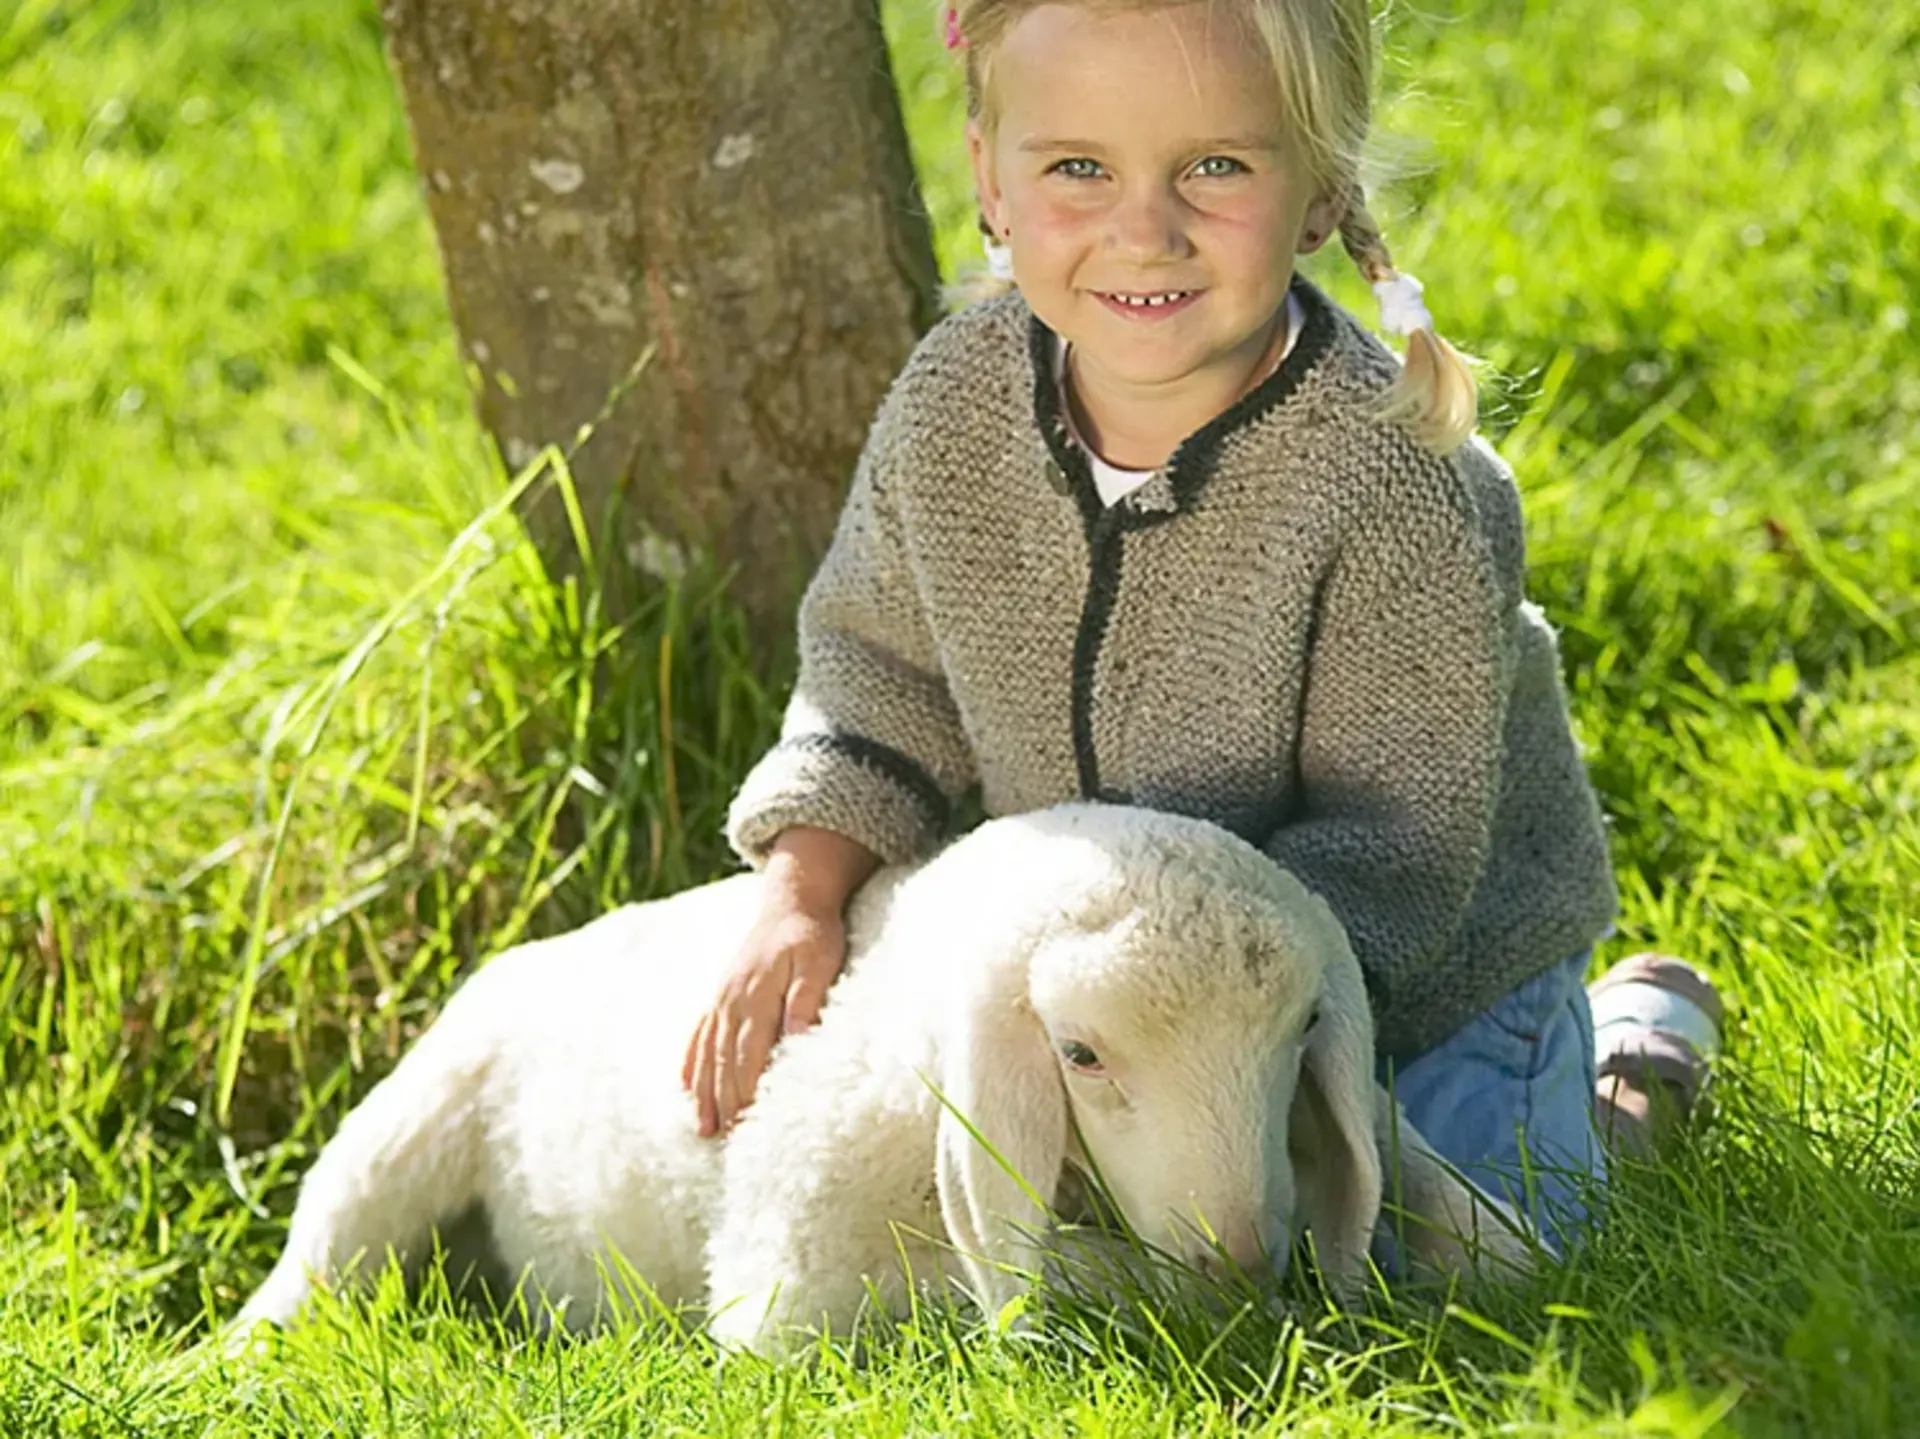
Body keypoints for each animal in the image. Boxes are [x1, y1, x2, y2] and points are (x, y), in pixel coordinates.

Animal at [228, 803, 1528, 1352]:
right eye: (1080, 1052)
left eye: (1305, 1028)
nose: (1250, 1253)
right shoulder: (793, 1286)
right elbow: (1058, 1276)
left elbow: (1467, 1215)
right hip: (414, 1112)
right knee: (323, 1253)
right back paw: (237, 1358)